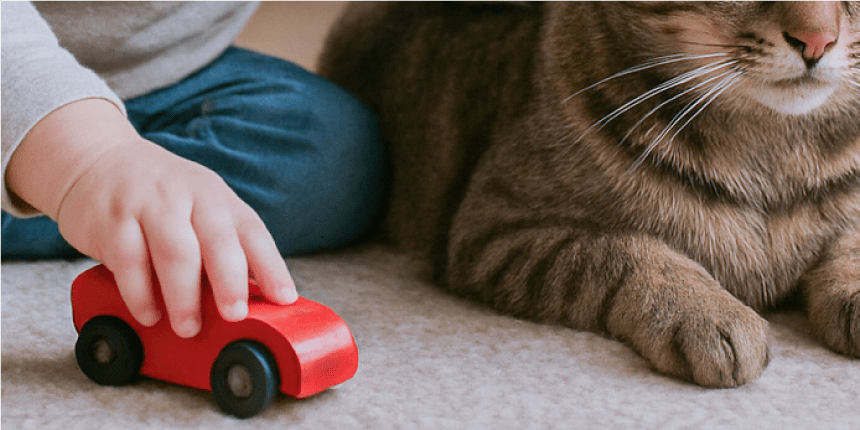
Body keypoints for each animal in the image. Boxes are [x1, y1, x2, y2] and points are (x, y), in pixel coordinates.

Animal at [318, 1, 860, 387]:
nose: (818, 39)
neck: (772, 154)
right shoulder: (492, 231)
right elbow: (624, 252)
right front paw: (708, 310)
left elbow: (850, 242)